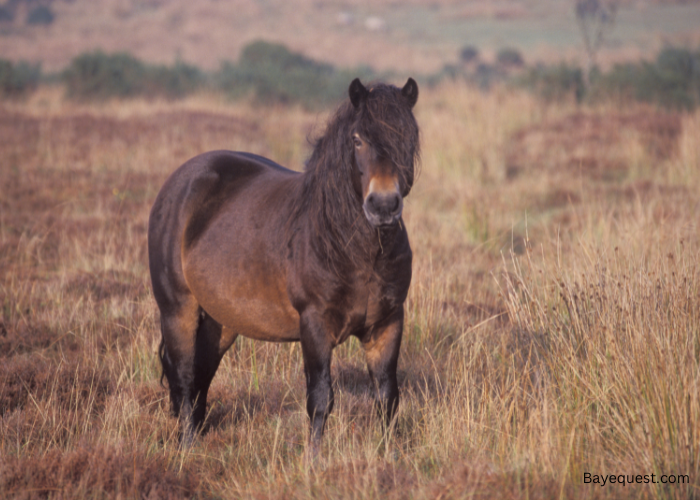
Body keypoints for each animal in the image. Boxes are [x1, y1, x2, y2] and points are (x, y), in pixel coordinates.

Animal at [148, 78, 422, 454]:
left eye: (409, 136)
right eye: (357, 139)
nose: (382, 205)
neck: (352, 250)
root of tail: (179, 183)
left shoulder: (388, 323)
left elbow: (387, 396)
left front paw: (390, 455)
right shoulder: (314, 326)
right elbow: (320, 398)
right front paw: (314, 459)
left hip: (222, 322)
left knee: (202, 372)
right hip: (178, 311)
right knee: (184, 376)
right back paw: (187, 447)